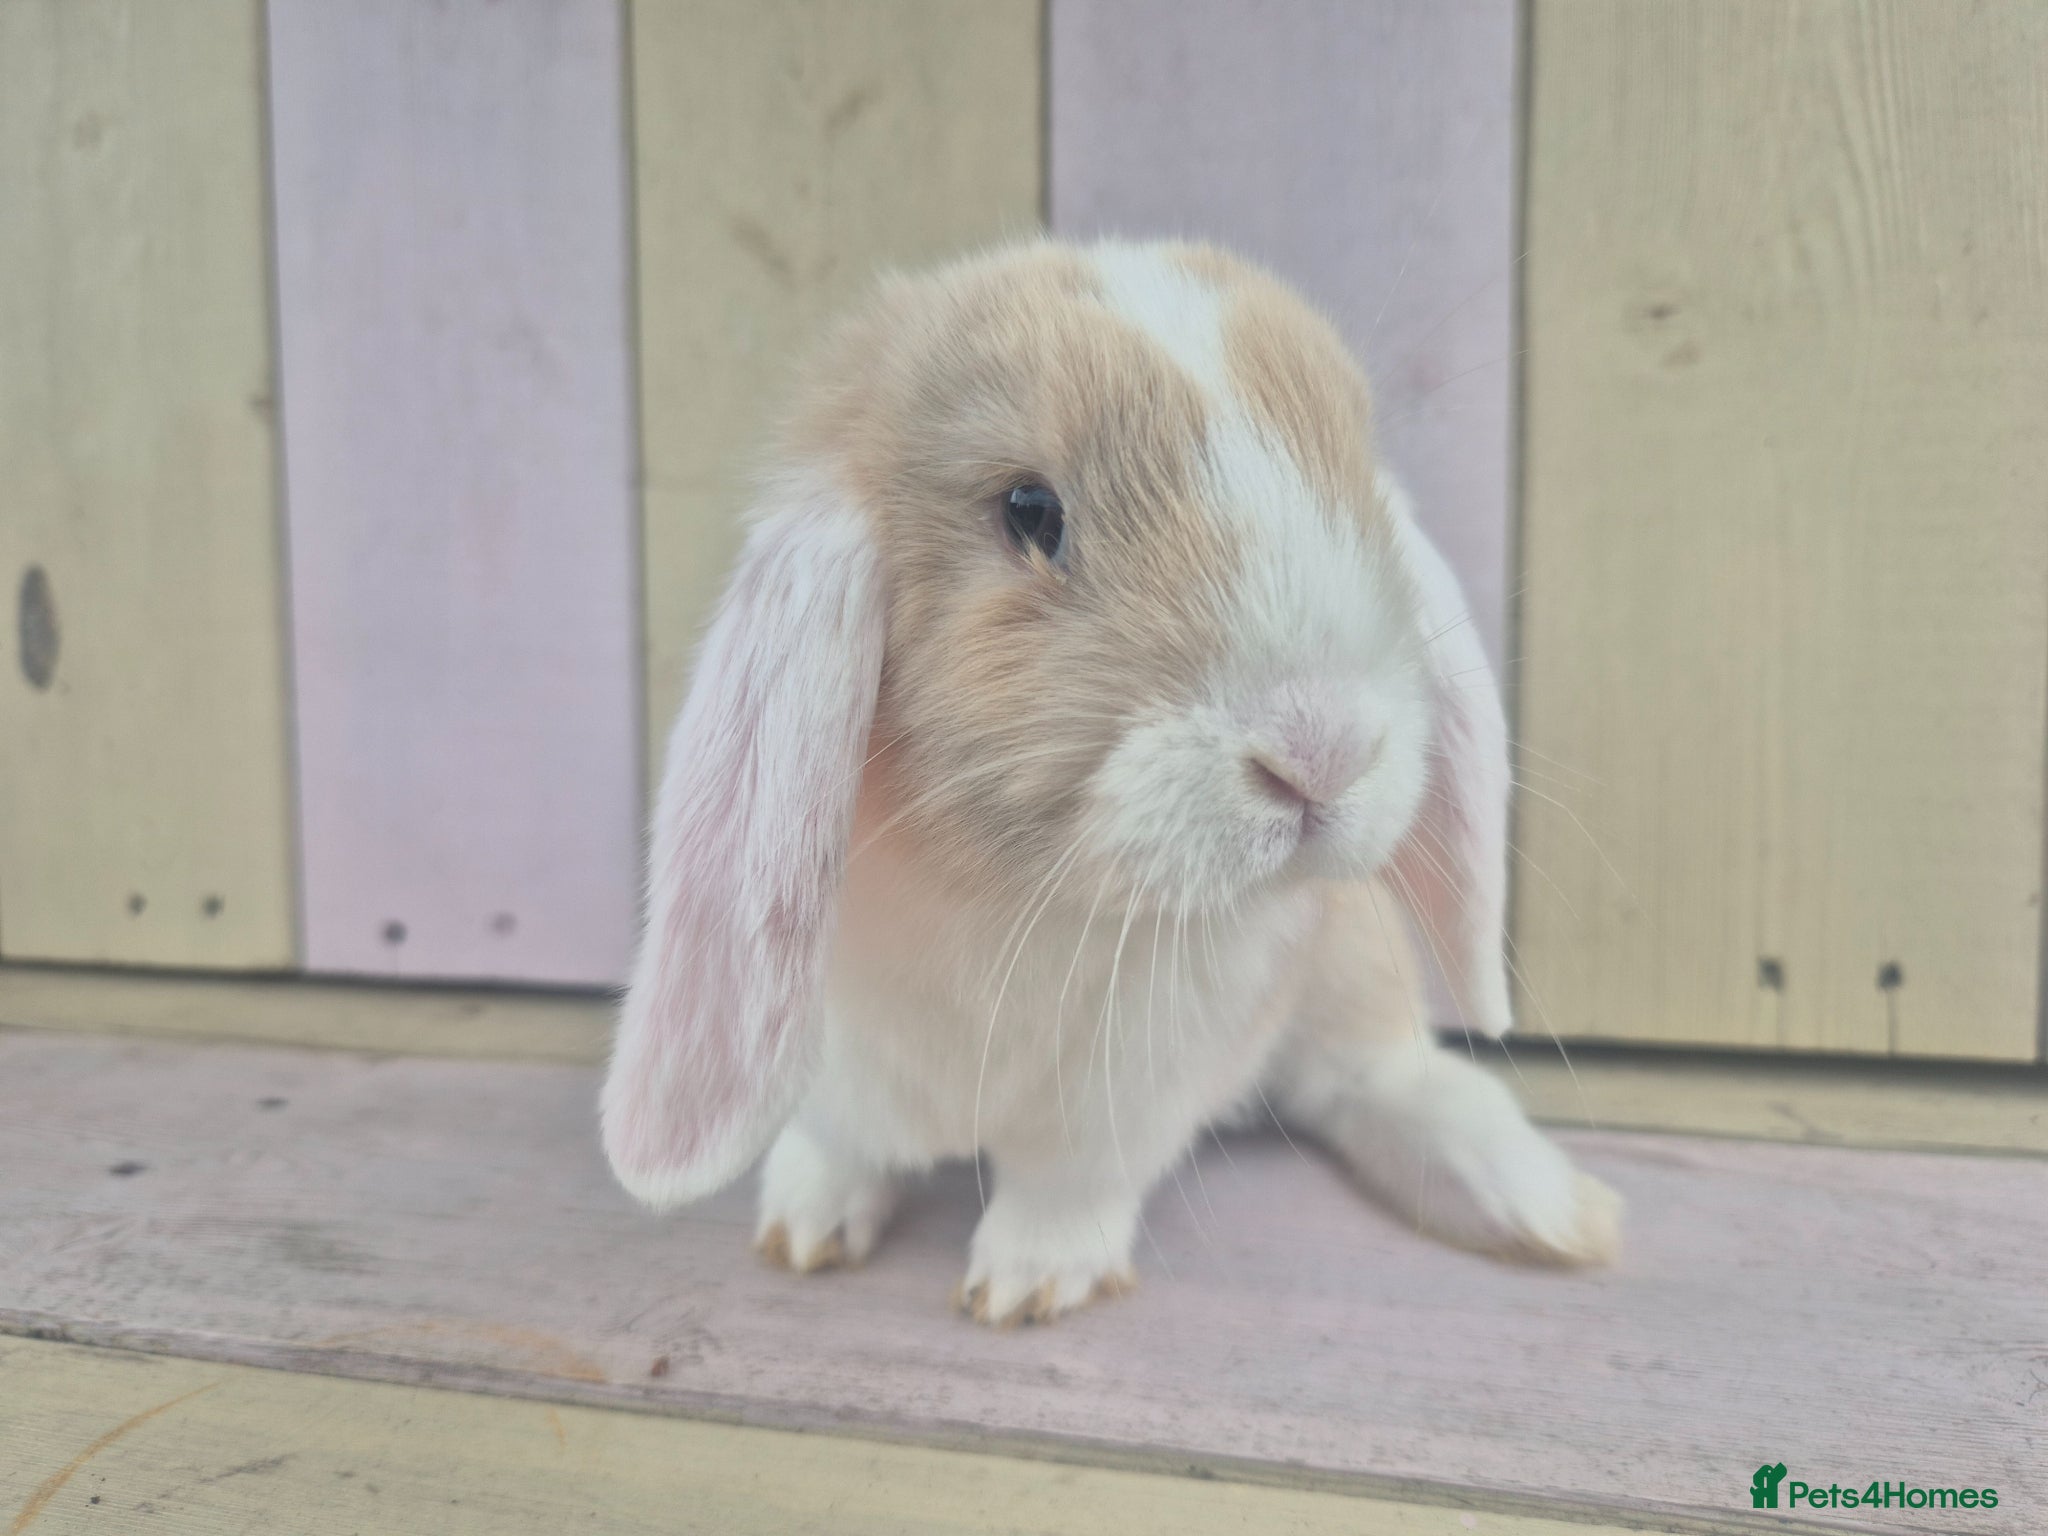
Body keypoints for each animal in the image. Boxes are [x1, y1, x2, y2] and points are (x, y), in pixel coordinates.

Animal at [602, 238, 1620, 1326]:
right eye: (1029, 511)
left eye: (1354, 487)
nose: (1324, 752)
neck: (1010, 893)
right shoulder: (842, 1049)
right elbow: (844, 1143)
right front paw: (802, 1230)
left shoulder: (1137, 1082)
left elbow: (1070, 1178)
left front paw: (1025, 1285)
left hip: (1348, 960)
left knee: (1378, 1075)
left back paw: (1537, 1206)